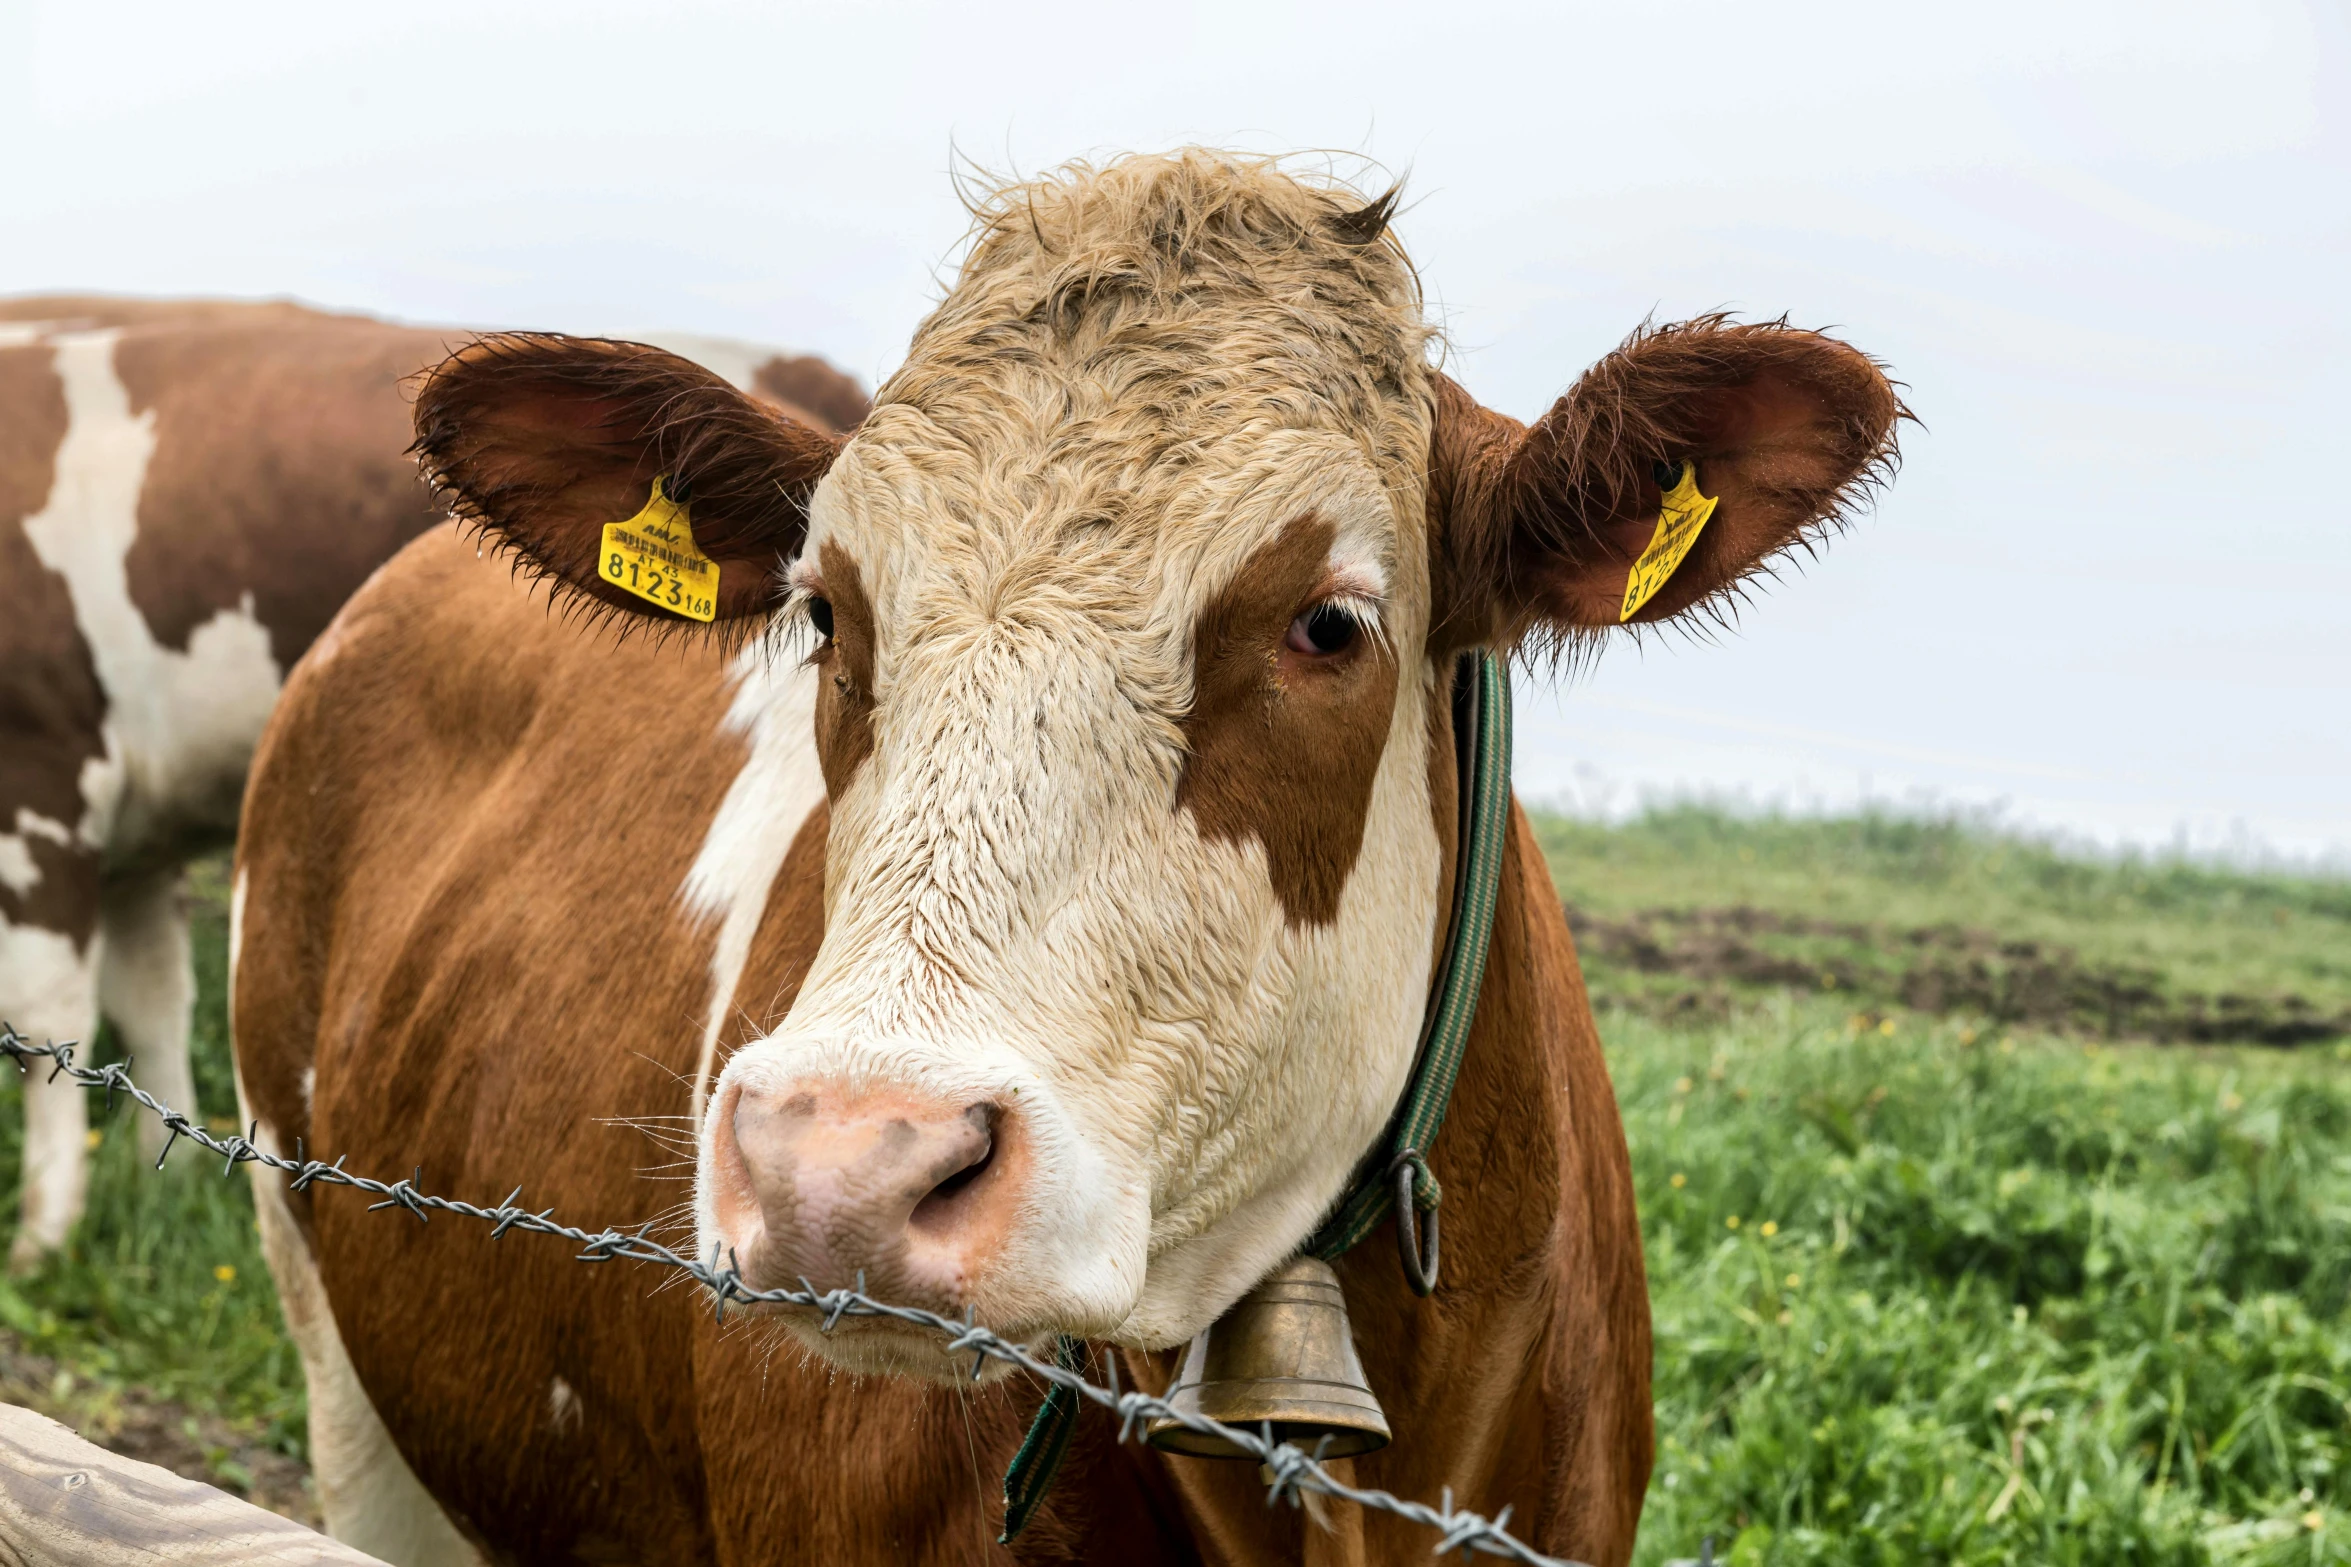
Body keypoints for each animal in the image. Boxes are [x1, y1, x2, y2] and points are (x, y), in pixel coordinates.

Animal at [0, 297, 865, 1278]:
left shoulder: (39, 772)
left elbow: (46, 1009)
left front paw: (41, 1233)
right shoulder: (135, 832)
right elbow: (150, 998)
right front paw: (165, 1178)